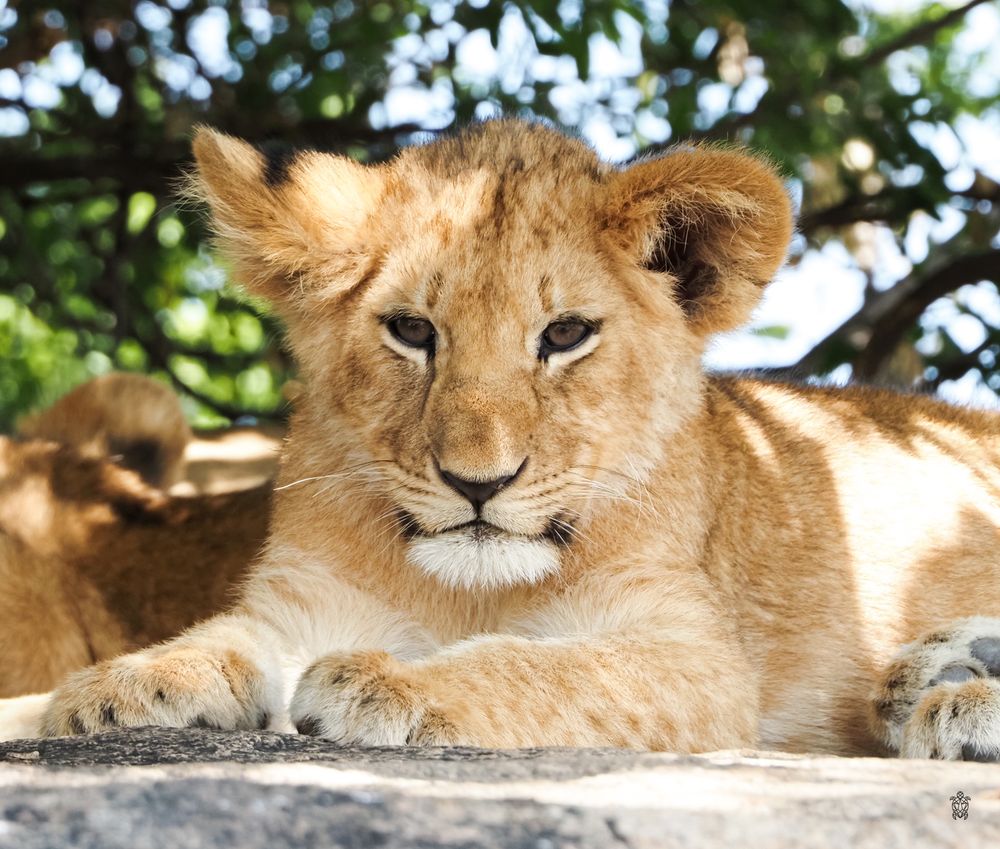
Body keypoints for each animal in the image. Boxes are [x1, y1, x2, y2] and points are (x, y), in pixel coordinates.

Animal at [13, 120, 1000, 760]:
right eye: (412, 330)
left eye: (564, 334)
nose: (476, 483)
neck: (464, 592)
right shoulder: (297, 601)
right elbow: (215, 638)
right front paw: (109, 690)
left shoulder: (698, 657)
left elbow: (544, 667)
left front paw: (389, 683)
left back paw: (957, 700)